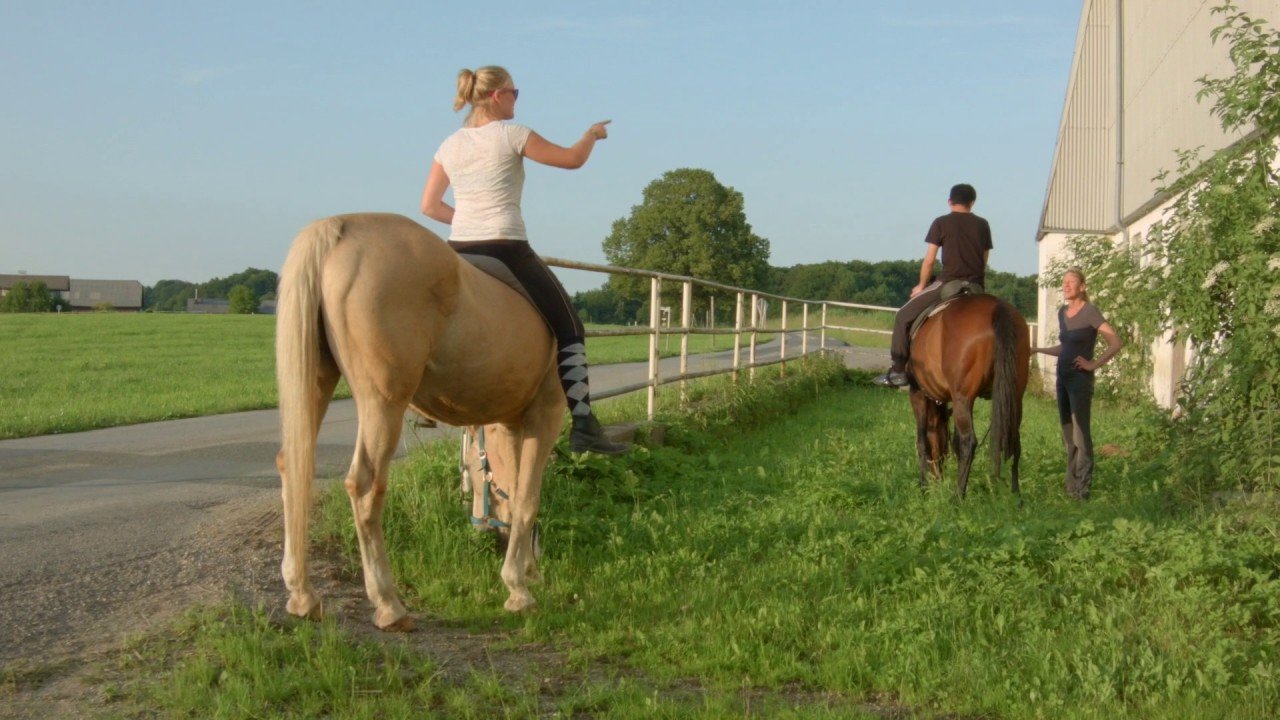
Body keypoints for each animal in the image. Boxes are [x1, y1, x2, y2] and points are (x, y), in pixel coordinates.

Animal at [275, 212, 564, 630]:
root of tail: (342, 226)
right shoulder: (545, 414)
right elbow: (527, 496)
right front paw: (519, 589)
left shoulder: (512, 423)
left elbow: (515, 489)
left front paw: (525, 573)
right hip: (382, 404)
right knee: (364, 486)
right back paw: (388, 604)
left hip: (316, 382)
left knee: (293, 466)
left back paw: (302, 595)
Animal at [907, 293, 1030, 498]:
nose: (937, 477)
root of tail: (996, 307)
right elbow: (954, 440)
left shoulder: (918, 395)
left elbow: (922, 441)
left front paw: (923, 486)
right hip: (1015, 397)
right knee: (1014, 440)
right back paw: (1016, 496)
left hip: (962, 398)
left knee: (968, 442)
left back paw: (958, 497)